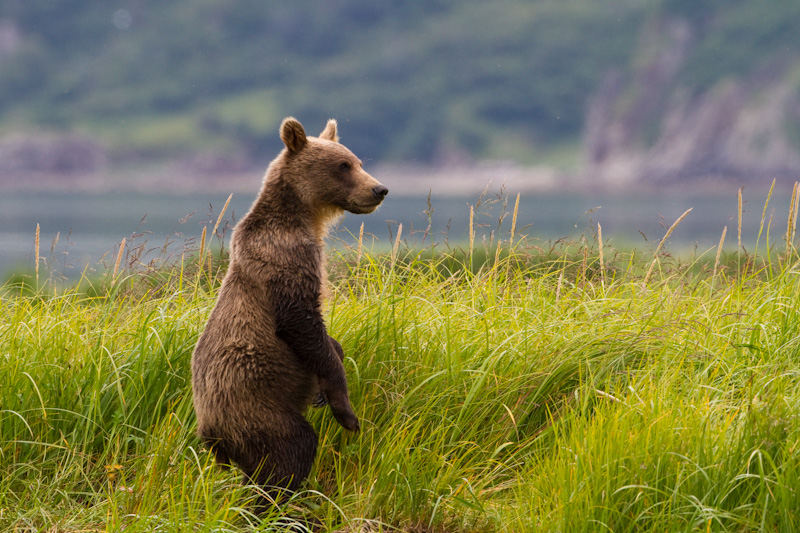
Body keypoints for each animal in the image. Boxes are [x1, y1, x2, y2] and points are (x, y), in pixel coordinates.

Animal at [189, 116, 386, 498]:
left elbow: (325, 342)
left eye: (358, 161)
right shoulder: (286, 261)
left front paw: (329, 377)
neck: (304, 219)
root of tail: (209, 434)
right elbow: (302, 324)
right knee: (290, 448)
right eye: (343, 166)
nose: (379, 190)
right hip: (255, 407)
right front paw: (347, 412)